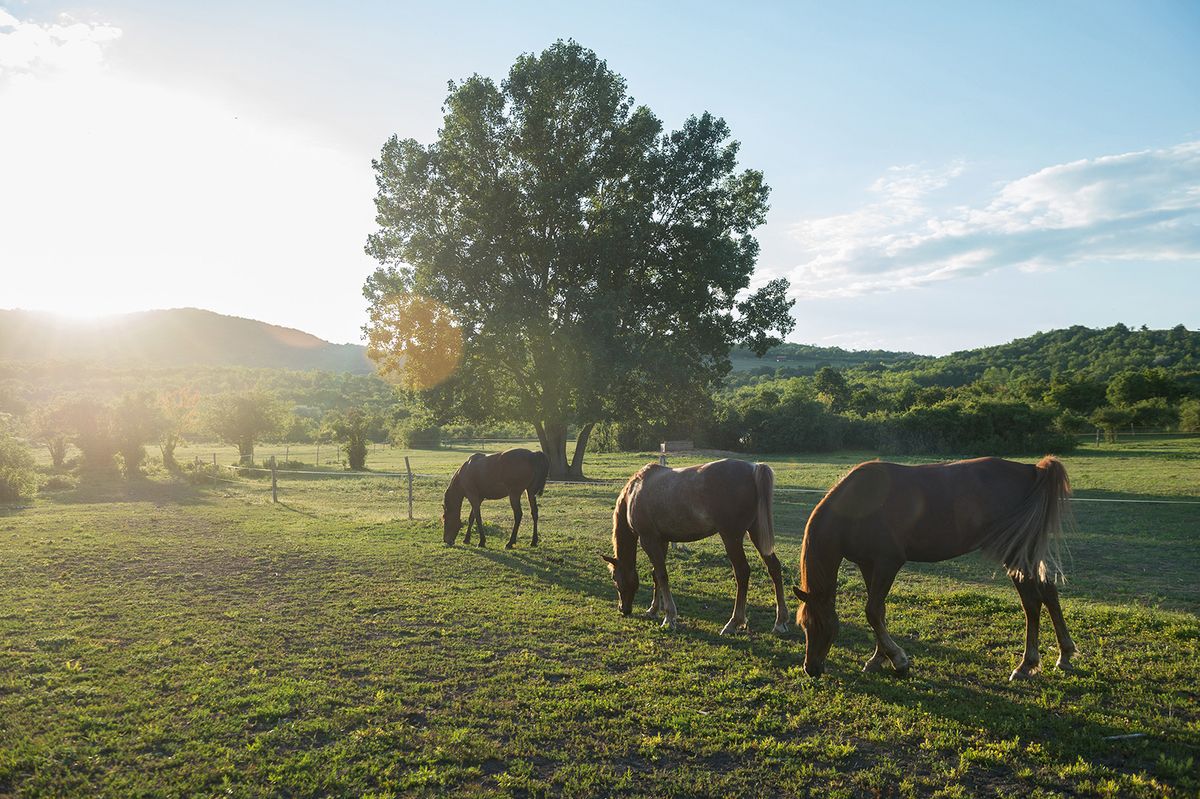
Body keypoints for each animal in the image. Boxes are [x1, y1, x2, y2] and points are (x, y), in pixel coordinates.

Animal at [600, 458, 787, 633]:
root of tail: (753, 468)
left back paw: (733, 622)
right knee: (774, 568)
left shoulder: (649, 540)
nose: (623, 609)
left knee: (742, 572)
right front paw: (653, 610)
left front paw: (669, 617)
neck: (635, 492)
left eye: (614, 577)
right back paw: (780, 622)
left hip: (731, 537)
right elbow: (656, 575)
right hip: (756, 533)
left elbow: (662, 575)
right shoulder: (662, 540)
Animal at [796, 453, 1080, 676]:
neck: (856, 505)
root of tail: (1032, 470)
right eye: (804, 625)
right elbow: (879, 612)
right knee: (1048, 593)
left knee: (1031, 602)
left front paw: (898, 660)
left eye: (820, 625)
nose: (811, 669)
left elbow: (873, 611)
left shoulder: (888, 563)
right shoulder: (869, 565)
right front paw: (879, 658)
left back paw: (1026, 665)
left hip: (1015, 554)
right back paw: (1064, 654)